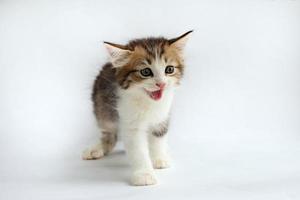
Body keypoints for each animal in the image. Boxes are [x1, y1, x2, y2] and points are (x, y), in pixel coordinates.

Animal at [82, 31, 192, 186]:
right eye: (146, 72)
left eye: (169, 69)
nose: (161, 84)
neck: (148, 102)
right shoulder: (129, 123)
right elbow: (138, 149)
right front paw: (144, 174)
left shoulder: (162, 117)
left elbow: (158, 138)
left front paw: (159, 158)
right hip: (102, 107)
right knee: (109, 133)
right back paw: (96, 149)